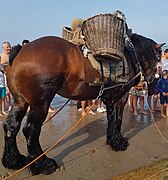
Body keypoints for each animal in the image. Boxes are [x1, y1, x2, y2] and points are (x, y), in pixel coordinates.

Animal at [1, 33, 163, 174]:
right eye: (157, 57)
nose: (152, 79)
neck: (130, 55)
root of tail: (21, 50)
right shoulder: (121, 97)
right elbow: (118, 119)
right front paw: (118, 142)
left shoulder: (109, 98)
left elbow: (111, 119)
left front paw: (112, 139)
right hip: (40, 104)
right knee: (30, 131)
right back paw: (42, 164)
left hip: (20, 102)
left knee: (11, 127)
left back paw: (13, 160)